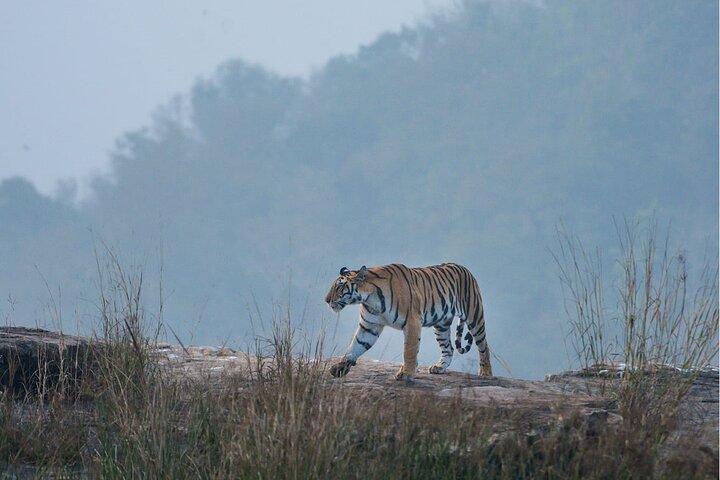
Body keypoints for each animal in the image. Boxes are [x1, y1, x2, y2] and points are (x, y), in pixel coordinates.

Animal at [324, 263, 492, 382]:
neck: (369, 298)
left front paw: (406, 374)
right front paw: (339, 367)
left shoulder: (413, 322)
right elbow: (355, 346)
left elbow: (409, 350)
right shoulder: (369, 326)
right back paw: (439, 367)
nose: (326, 300)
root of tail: (465, 268)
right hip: (441, 325)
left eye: (340, 286)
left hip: (474, 316)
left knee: (483, 346)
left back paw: (486, 373)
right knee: (448, 348)